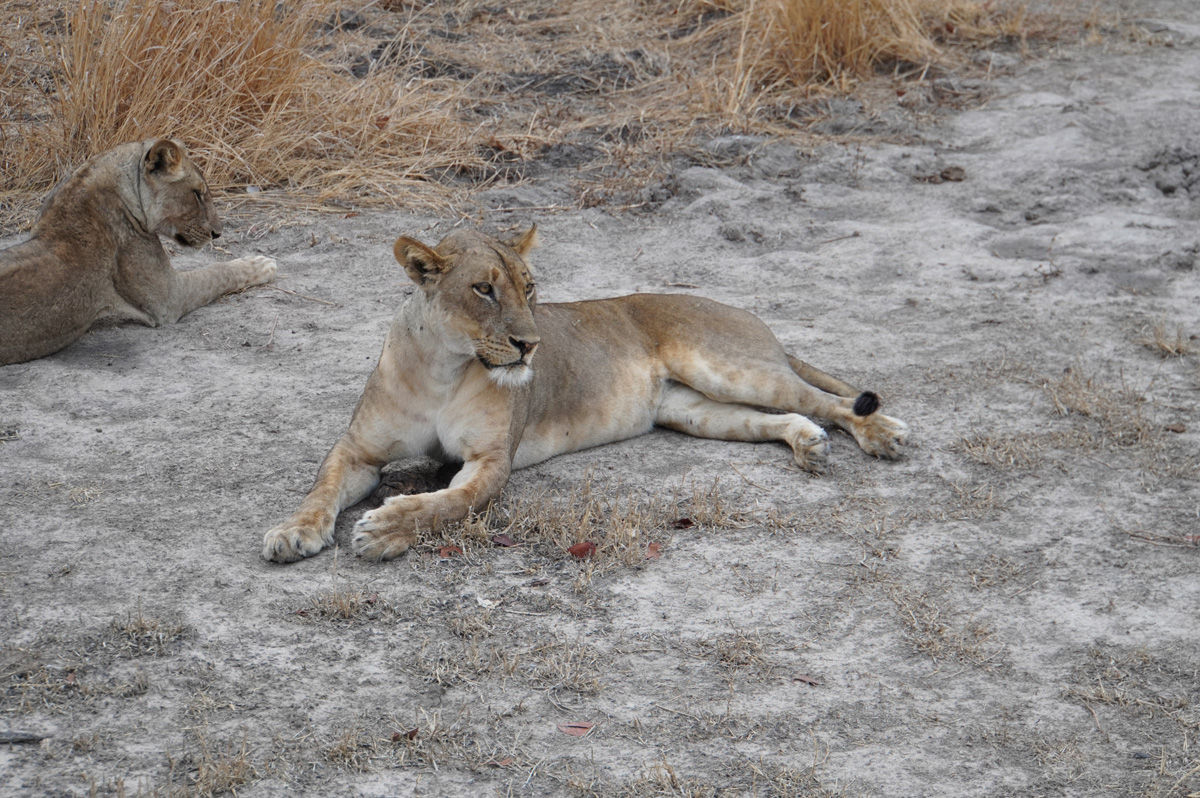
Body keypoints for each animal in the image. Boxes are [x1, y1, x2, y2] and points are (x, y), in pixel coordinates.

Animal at [262, 226, 908, 563]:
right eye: (483, 290)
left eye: (529, 287)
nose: (530, 345)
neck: (443, 367)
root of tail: (747, 313)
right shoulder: (359, 450)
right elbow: (321, 487)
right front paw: (293, 532)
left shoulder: (491, 461)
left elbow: (446, 504)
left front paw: (385, 529)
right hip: (694, 411)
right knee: (780, 415)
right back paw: (808, 445)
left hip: (728, 366)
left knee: (823, 399)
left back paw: (882, 434)